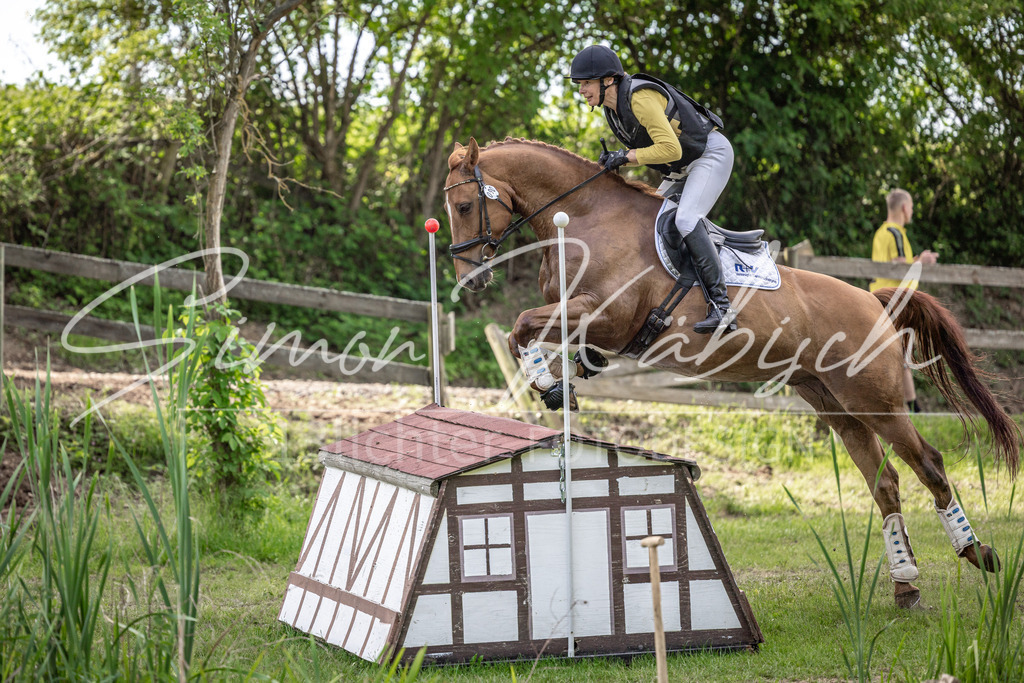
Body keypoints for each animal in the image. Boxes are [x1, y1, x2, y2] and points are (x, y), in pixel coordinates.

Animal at [441, 136, 1022, 609]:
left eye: (465, 205)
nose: (470, 277)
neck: (583, 219)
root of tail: (876, 301)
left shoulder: (609, 316)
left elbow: (521, 325)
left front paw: (550, 386)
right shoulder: (581, 319)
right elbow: (524, 333)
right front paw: (556, 385)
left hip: (875, 401)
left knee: (929, 464)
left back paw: (977, 552)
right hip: (834, 404)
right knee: (885, 483)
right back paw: (906, 585)